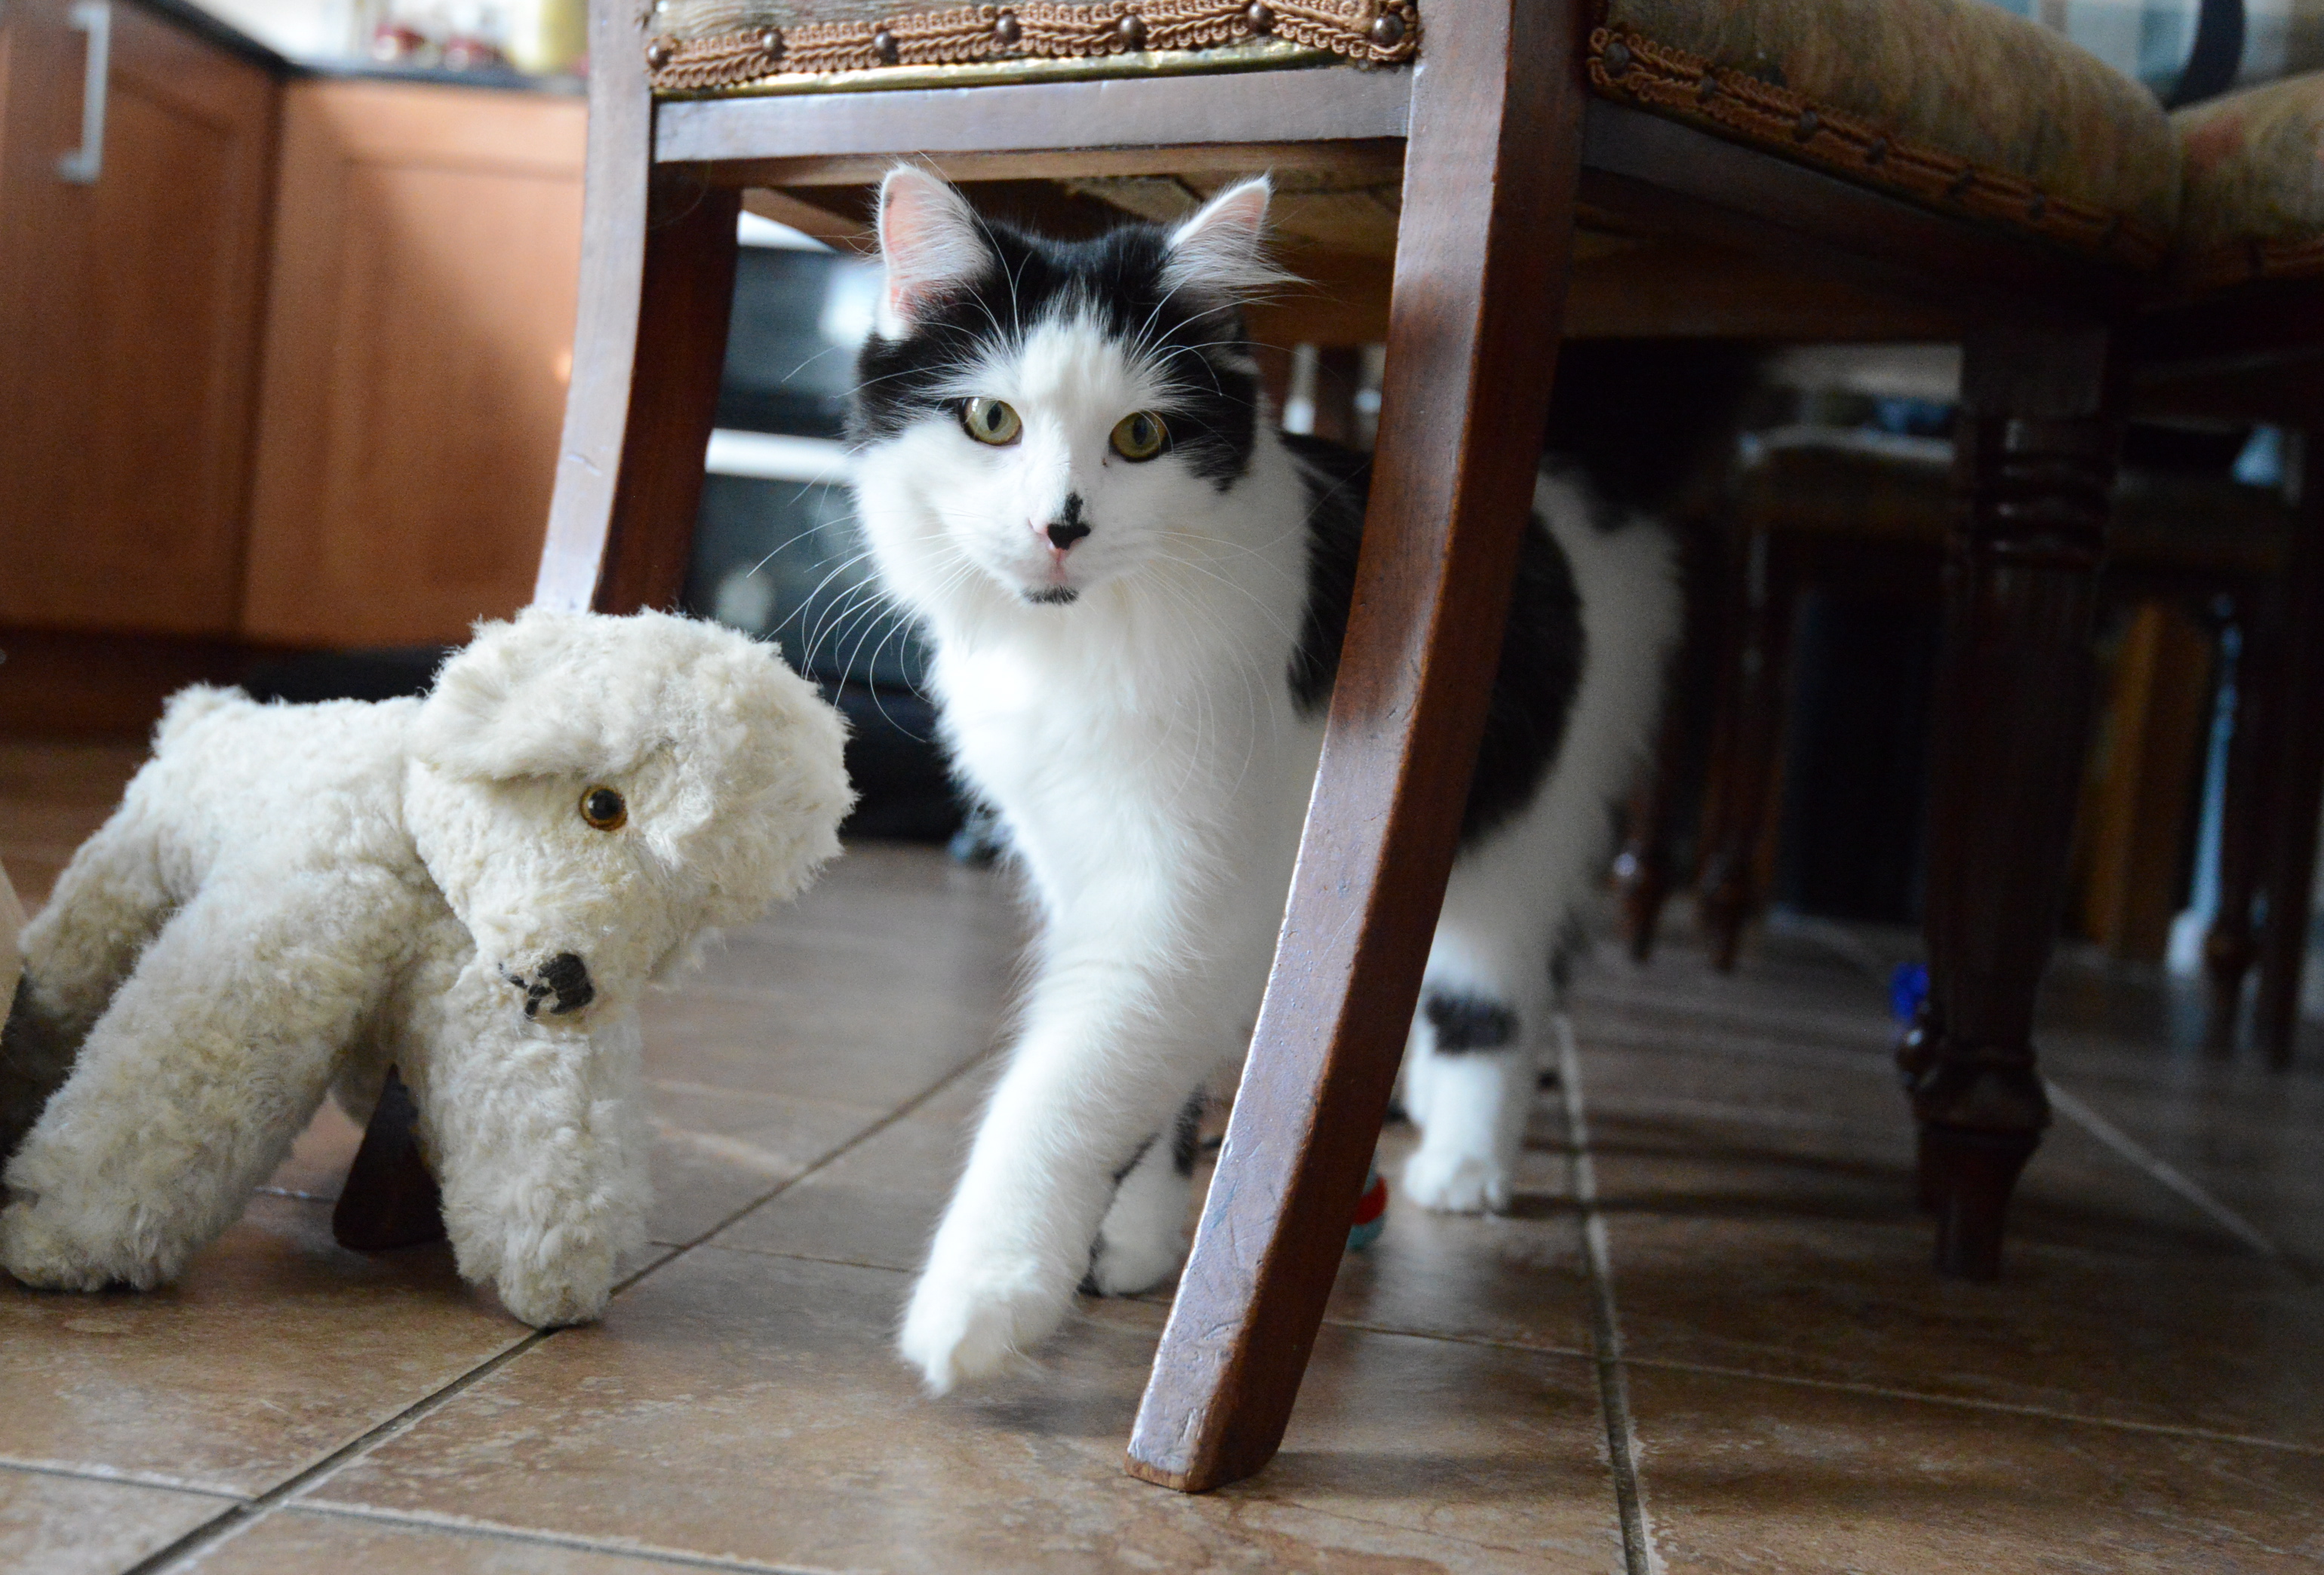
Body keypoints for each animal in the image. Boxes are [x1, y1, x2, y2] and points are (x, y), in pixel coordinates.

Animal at [846, 166, 1682, 1384]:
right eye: (991, 422)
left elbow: (1065, 1085)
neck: (1078, 649)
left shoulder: (1187, 896)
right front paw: (1136, 1241)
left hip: (1523, 818)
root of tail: (1570, 490)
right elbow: (1152, 1075)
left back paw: (1464, 1166)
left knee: (1495, 989)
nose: (1059, 527)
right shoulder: (1085, 865)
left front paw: (984, 1299)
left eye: (1141, 436)